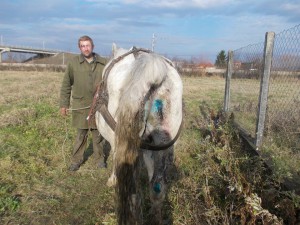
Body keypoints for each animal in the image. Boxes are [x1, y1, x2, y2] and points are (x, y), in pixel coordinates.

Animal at [94, 43, 183, 224]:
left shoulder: (116, 141)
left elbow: (114, 159)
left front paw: (112, 180)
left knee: (133, 195)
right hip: (165, 144)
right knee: (157, 188)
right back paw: (156, 216)